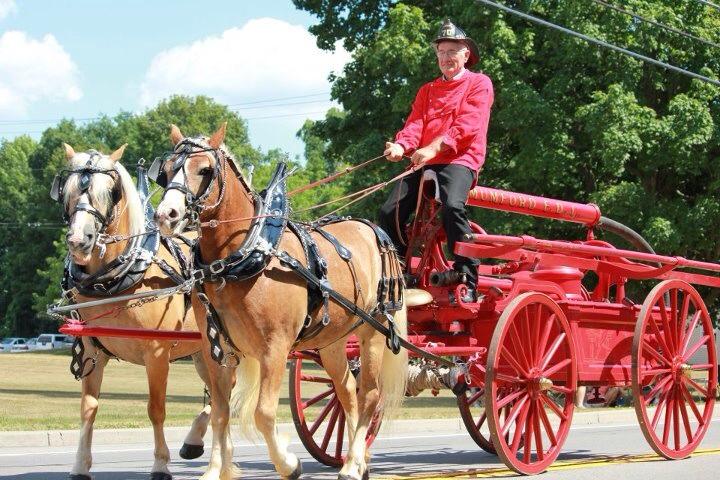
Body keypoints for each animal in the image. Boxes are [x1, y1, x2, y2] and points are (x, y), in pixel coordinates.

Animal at [54, 143, 212, 480]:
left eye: (109, 191)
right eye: (67, 190)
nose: (79, 240)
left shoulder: (156, 353)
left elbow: (156, 409)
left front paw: (160, 464)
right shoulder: (92, 350)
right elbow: (88, 407)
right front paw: (80, 465)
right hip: (201, 353)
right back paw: (196, 440)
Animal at [154, 124, 408, 480]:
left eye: (204, 169)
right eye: (164, 172)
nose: (167, 215)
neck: (245, 254)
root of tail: (374, 229)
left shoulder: (274, 348)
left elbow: (263, 413)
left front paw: (288, 463)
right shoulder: (216, 348)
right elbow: (219, 411)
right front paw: (215, 470)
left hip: (373, 331)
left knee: (369, 394)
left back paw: (353, 463)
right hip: (332, 341)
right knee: (347, 391)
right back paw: (356, 461)